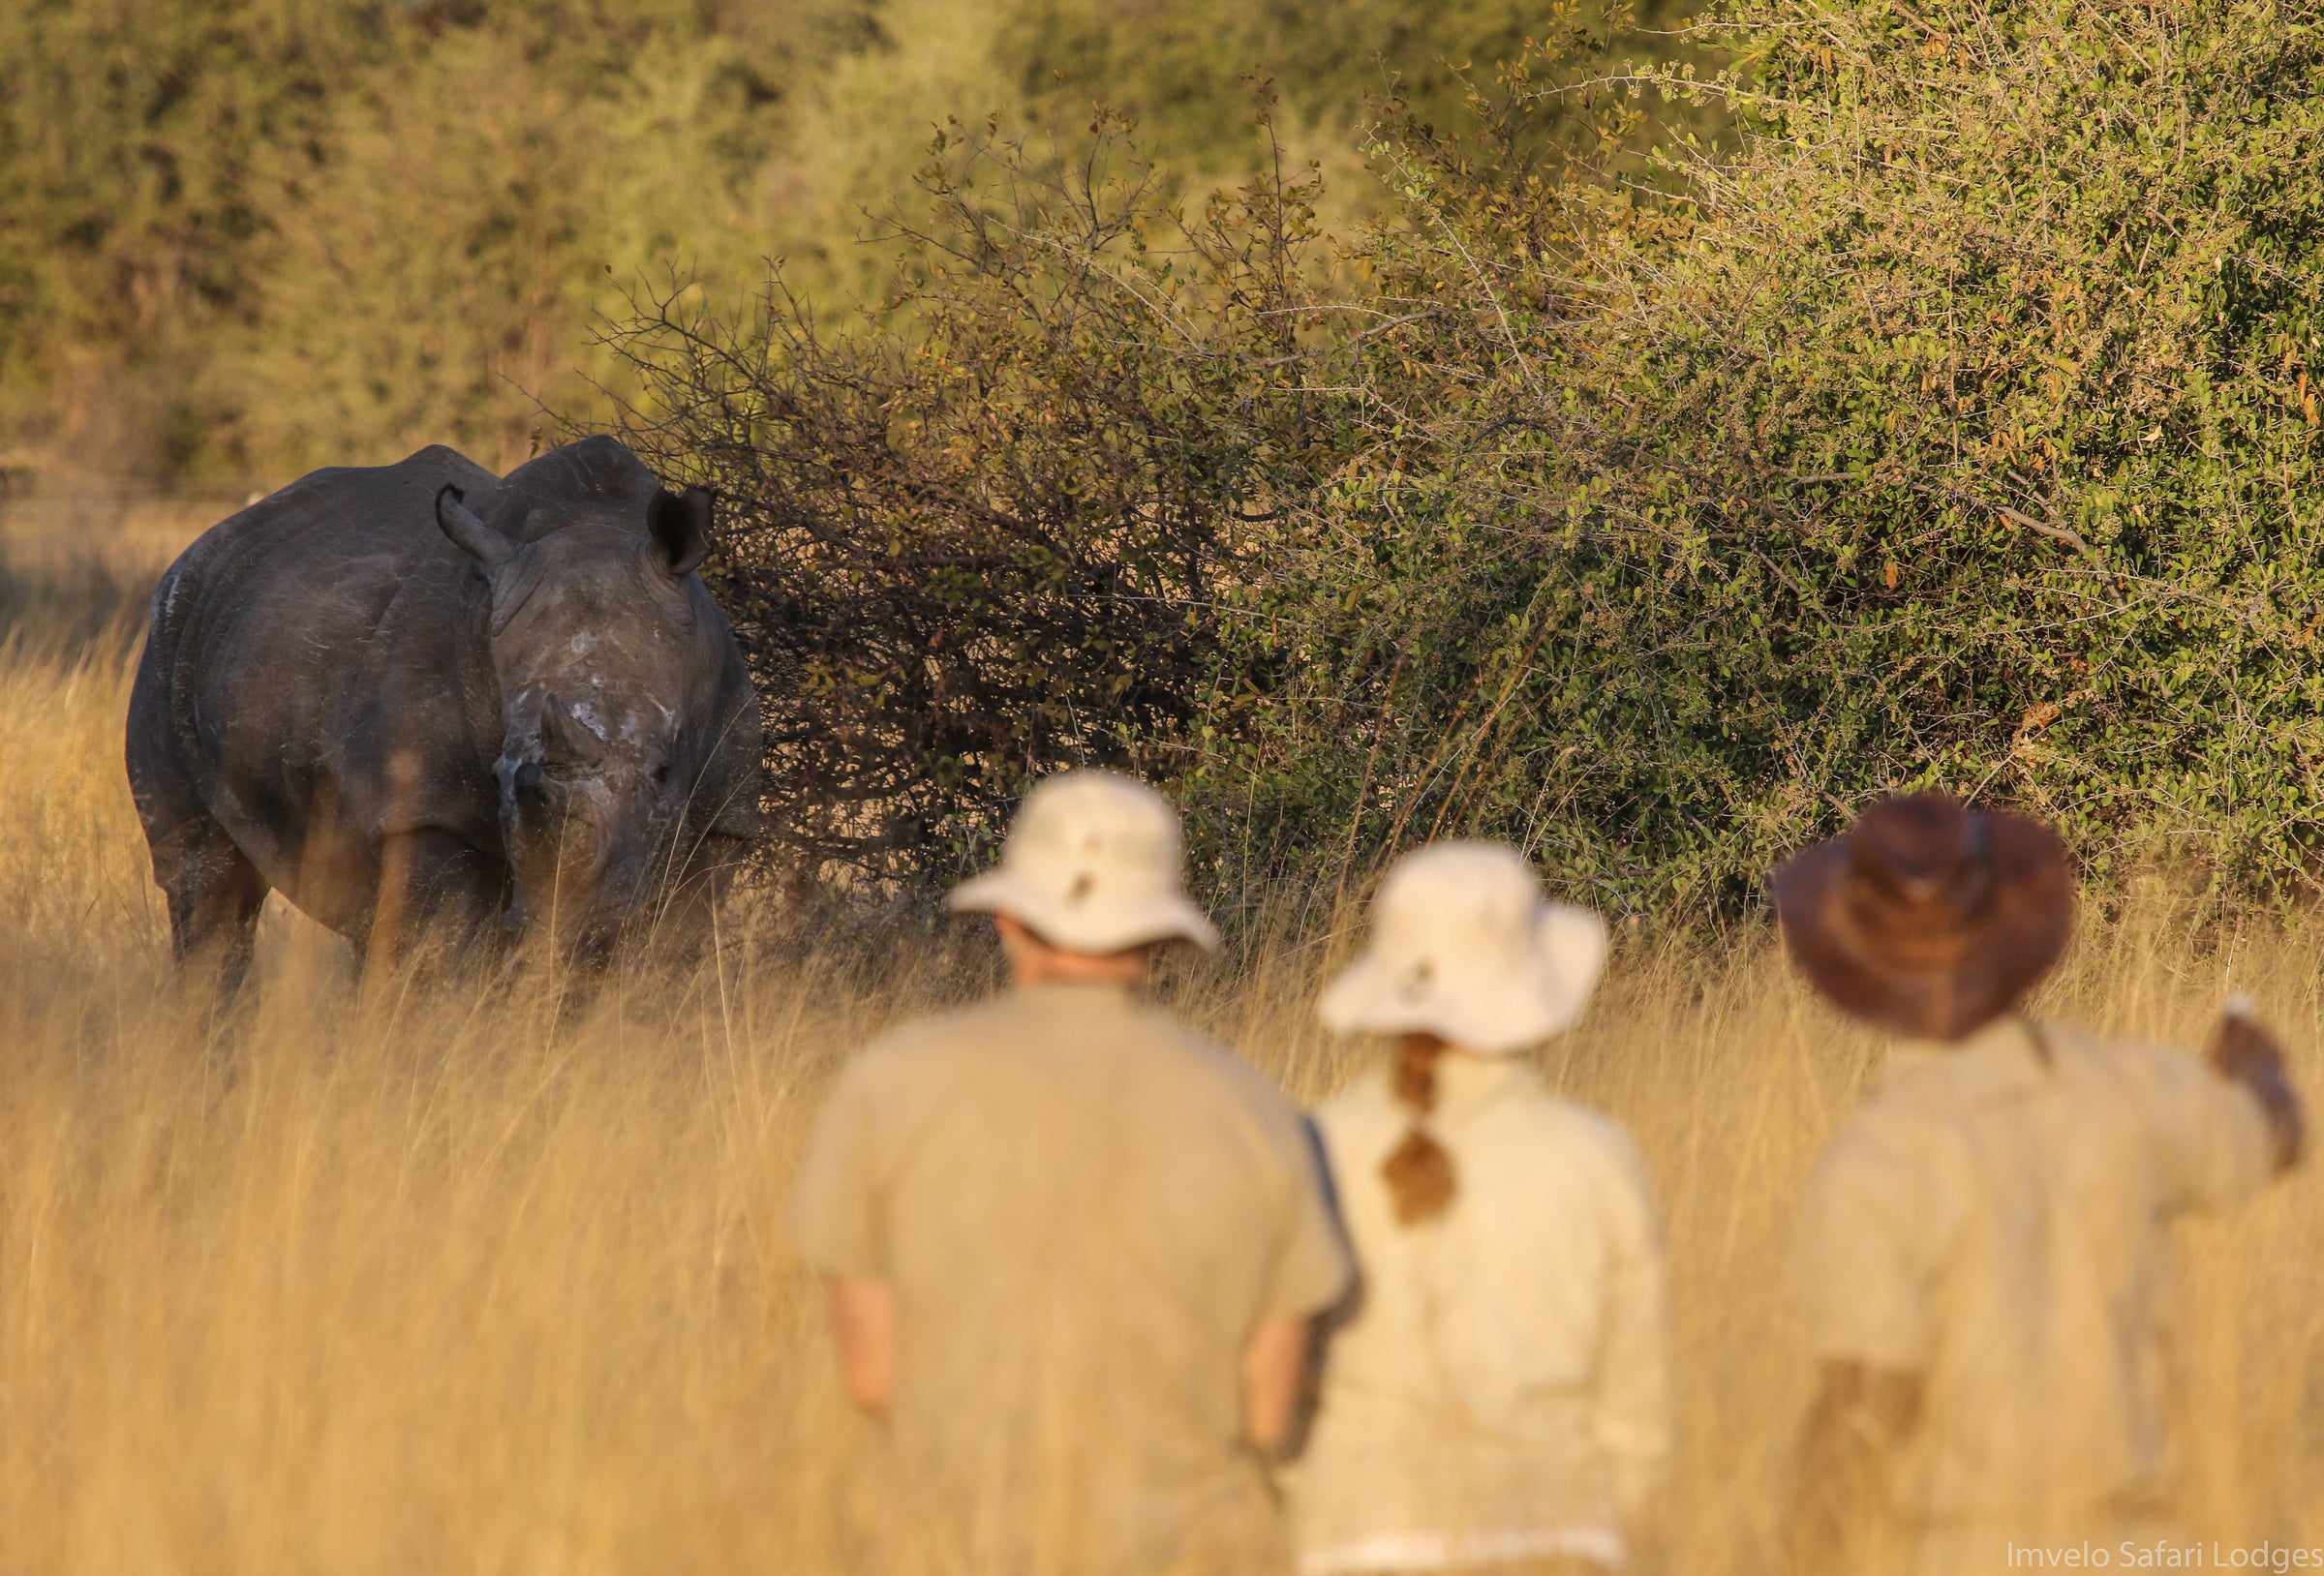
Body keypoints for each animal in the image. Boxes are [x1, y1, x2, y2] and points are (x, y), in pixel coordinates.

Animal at [126, 436, 762, 990]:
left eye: (664, 773)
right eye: (497, 777)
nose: (576, 928)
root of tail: (205, 545)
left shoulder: (724, 814)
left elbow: (676, 953)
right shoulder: (427, 806)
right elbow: (444, 953)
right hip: (167, 640)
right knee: (204, 885)